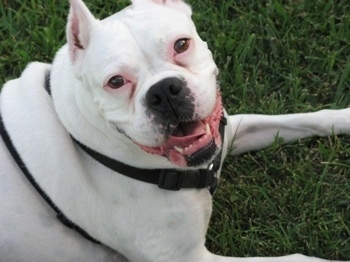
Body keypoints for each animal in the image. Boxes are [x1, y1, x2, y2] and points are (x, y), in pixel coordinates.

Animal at [0, 0, 350, 262]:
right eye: (116, 82)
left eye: (181, 44)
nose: (164, 91)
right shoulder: (190, 259)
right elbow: (299, 259)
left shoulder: (227, 133)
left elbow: (303, 120)